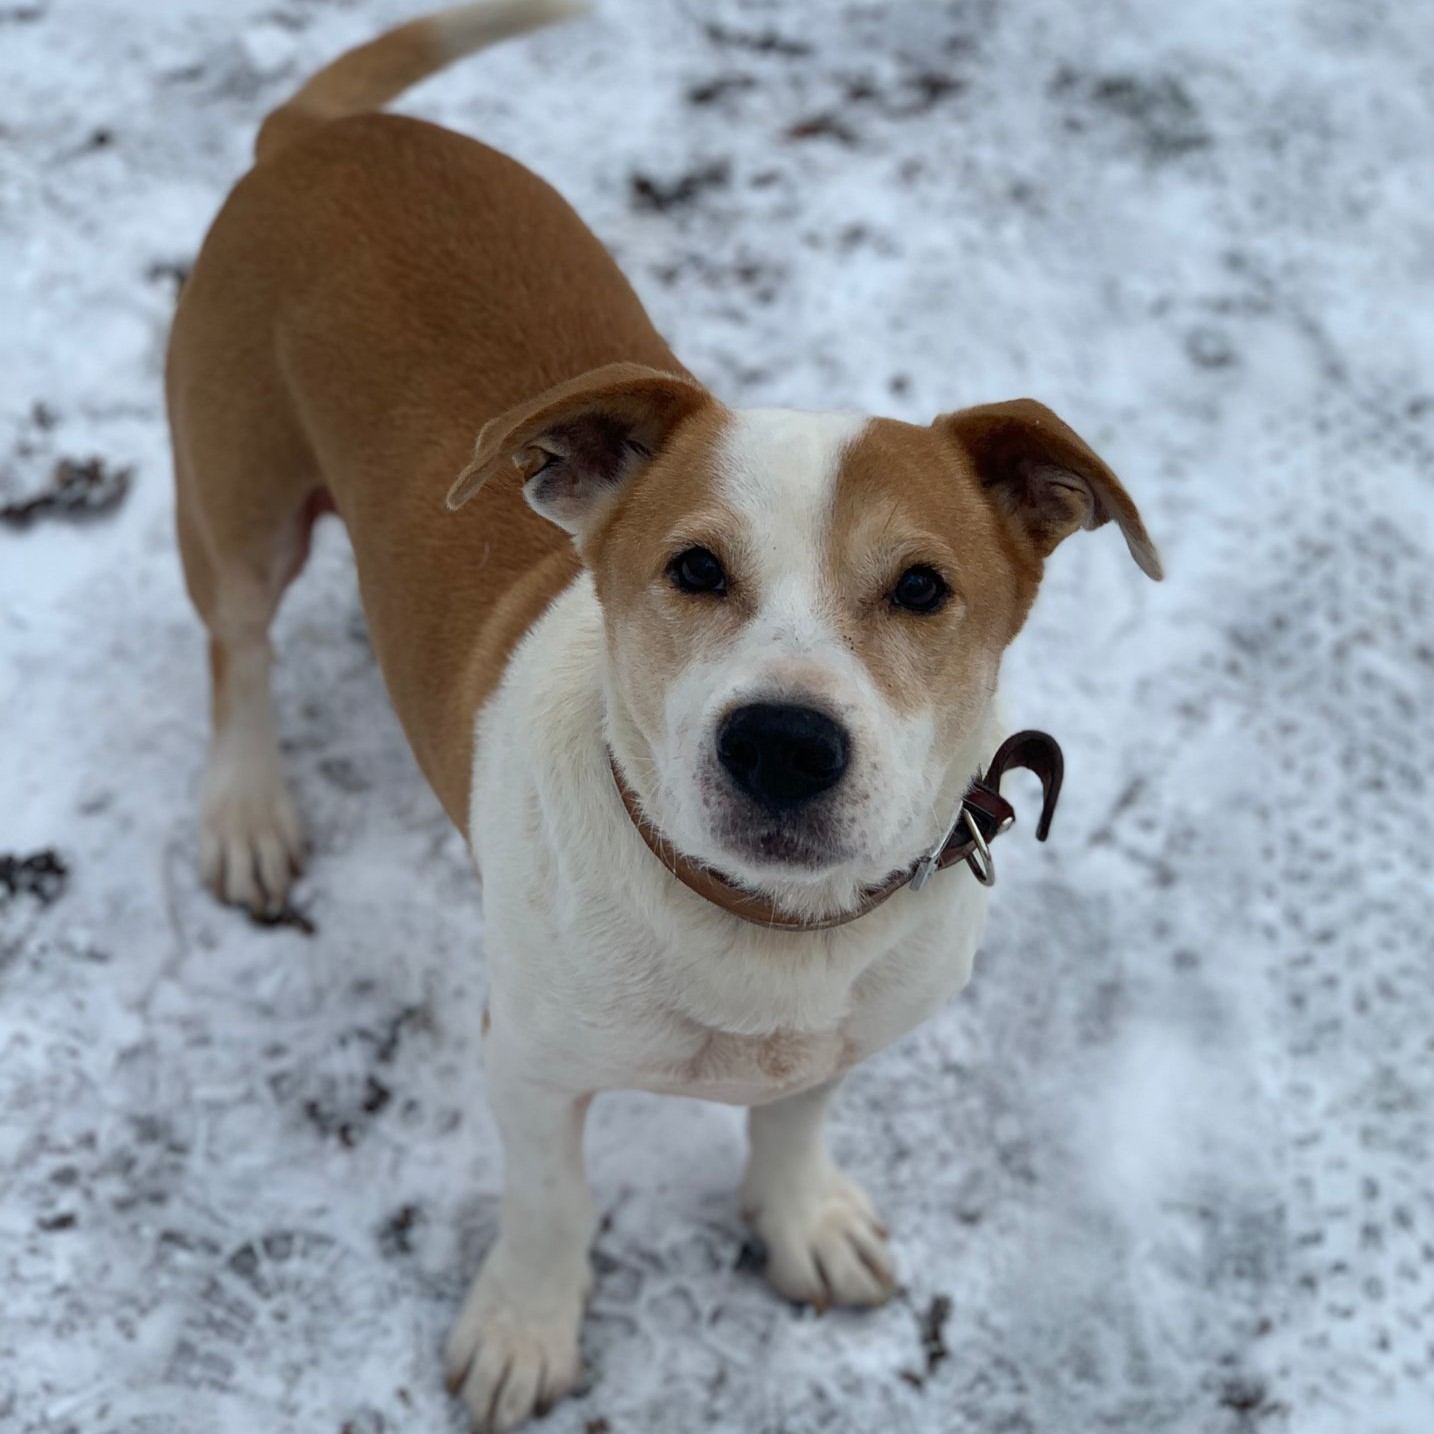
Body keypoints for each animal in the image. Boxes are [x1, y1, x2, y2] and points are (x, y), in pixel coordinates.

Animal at [166, 2, 1162, 1428]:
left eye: (923, 587)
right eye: (694, 568)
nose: (783, 745)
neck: (761, 926)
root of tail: (317, 136)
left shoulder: (840, 1033)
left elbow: (794, 1119)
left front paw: (801, 1219)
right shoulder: (529, 1061)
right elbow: (551, 1203)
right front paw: (524, 1329)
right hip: (237, 498)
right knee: (236, 650)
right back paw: (248, 809)